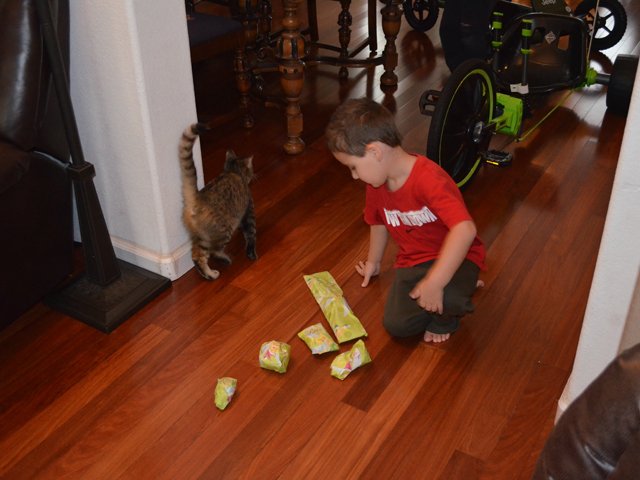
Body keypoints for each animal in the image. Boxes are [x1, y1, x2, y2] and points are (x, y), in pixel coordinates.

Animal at [179, 123, 257, 280]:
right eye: (251, 169)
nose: (253, 175)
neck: (233, 172)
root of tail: (196, 199)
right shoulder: (248, 210)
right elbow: (251, 232)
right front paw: (251, 252)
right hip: (222, 231)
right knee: (213, 251)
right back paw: (222, 261)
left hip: (200, 236)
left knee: (197, 255)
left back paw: (208, 274)